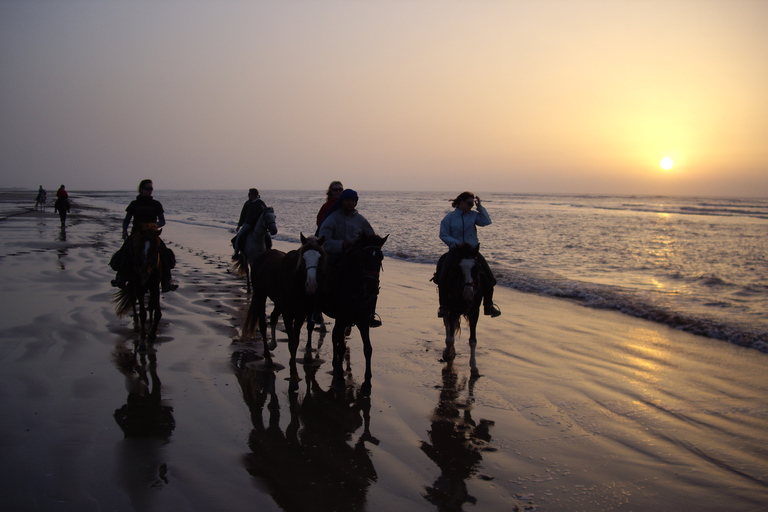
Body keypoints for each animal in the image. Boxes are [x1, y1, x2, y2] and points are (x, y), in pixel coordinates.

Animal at [240, 233, 324, 372]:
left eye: (319, 257)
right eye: (303, 258)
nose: (311, 285)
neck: (296, 281)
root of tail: (261, 256)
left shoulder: (301, 313)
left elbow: (295, 341)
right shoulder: (287, 313)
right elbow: (292, 342)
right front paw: (293, 370)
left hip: (278, 303)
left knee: (273, 316)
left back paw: (273, 344)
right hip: (260, 294)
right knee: (263, 325)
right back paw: (268, 357)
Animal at [318, 234, 388, 390]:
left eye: (380, 257)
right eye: (363, 257)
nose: (372, 286)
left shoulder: (363, 321)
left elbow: (368, 349)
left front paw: (367, 380)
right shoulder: (342, 319)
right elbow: (342, 347)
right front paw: (340, 377)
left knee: (334, 336)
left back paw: (335, 362)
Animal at [438, 244, 486, 372]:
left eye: (475, 268)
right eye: (459, 269)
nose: (468, 293)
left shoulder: (474, 312)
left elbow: (473, 340)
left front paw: (474, 365)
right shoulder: (453, 310)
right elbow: (450, 339)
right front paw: (447, 354)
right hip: (447, 307)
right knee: (447, 324)